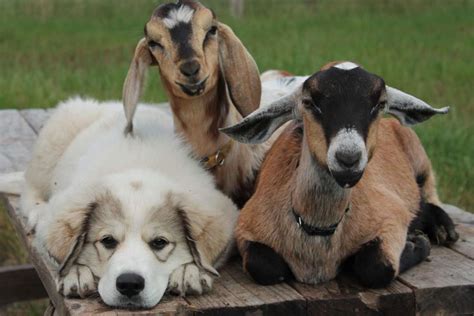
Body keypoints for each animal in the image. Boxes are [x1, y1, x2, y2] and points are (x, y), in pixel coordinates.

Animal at [16, 97, 239, 308]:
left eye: (159, 242)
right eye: (107, 241)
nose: (130, 284)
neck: (137, 166)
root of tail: (111, 104)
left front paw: (189, 271)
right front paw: (75, 272)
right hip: (53, 141)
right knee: (29, 187)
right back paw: (37, 210)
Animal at [222, 61, 460, 286]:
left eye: (380, 104)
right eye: (309, 102)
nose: (348, 158)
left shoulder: (392, 215)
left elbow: (376, 267)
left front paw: (418, 243)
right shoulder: (246, 227)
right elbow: (263, 266)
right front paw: (417, 241)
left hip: (419, 160)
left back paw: (444, 229)